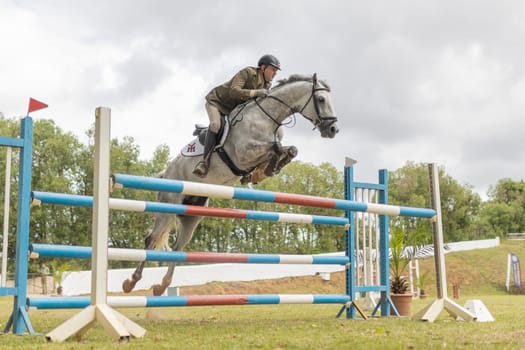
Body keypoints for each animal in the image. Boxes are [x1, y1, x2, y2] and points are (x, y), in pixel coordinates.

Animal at [121, 73, 338, 296]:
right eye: (321, 100)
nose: (333, 129)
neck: (268, 118)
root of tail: (165, 173)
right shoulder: (243, 153)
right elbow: (275, 147)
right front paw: (268, 167)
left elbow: (289, 149)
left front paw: (266, 170)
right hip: (167, 207)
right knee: (152, 240)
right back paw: (131, 282)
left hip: (192, 215)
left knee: (177, 248)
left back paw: (161, 286)